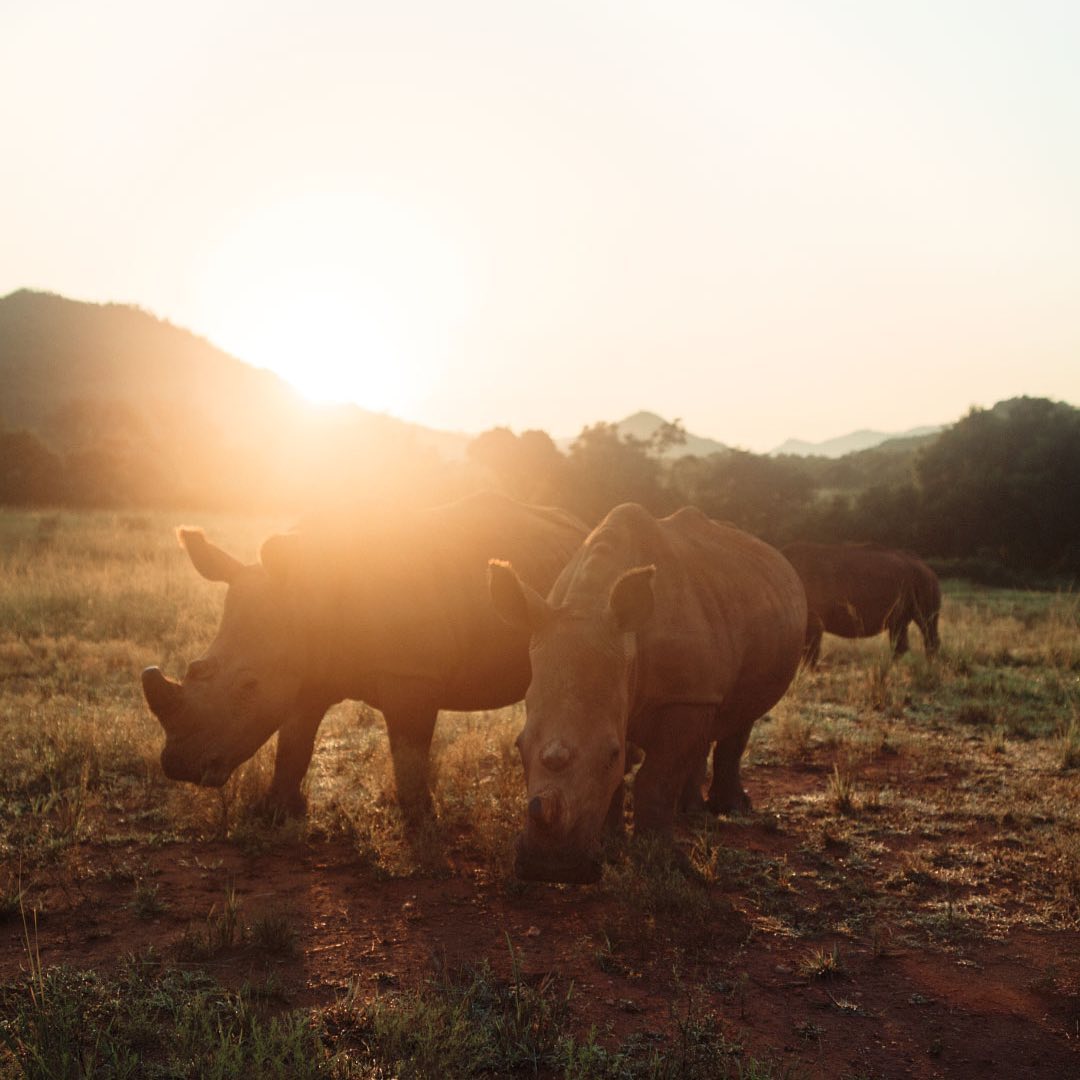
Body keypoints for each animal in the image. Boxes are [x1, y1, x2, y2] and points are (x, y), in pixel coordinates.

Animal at [143, 494, 587, 812]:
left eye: (249, 686)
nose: (179, 766)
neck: (304, 591)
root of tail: (580, 524)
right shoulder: (306, 668)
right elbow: (293, 743)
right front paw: (275, 811)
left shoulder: (412, 674)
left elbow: (408, 753)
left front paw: (418, 819)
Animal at [488, 501, 803, 881]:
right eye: (518, 747)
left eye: (610, 754)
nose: (551, 869)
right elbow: (623, 780)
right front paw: (609, 844)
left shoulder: (683, 696)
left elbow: (656, 778)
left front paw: (661, 859)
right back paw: (690, 812)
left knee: (740, 718)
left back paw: (729, 810)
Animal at [781, 540, 941, 665]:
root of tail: (927, 566)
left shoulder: (813, 620)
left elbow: (809, 652)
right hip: (915, 581)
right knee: (900, 628)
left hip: (924, 581)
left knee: (926, 624)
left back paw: (929, 666)